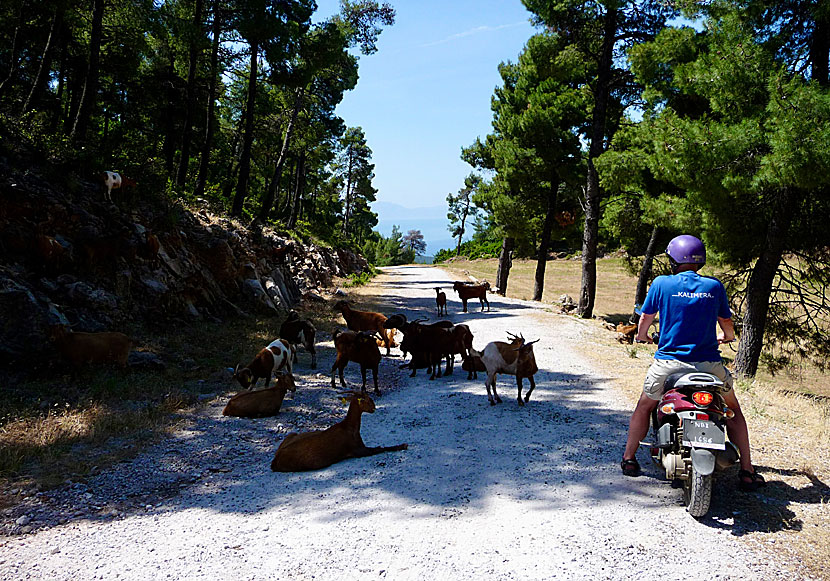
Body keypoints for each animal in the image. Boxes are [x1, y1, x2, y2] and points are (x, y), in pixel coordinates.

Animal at [270, 390, 410, 472]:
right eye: (365, 399)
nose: (374, 407)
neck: (349, 426)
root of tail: (275, 460)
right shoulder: (358, 450)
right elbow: (379, 448)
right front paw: (402, 445)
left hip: (293, 434)